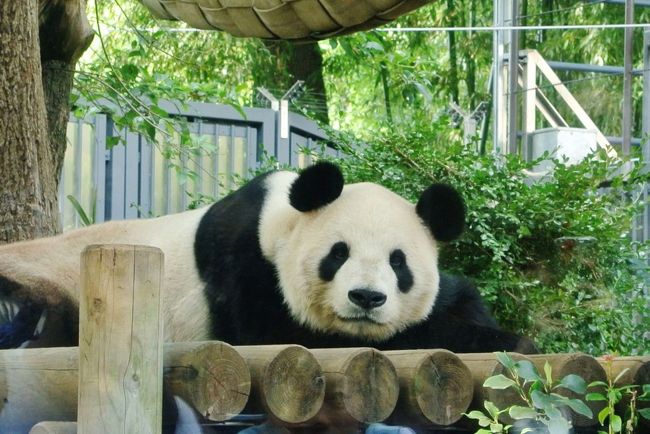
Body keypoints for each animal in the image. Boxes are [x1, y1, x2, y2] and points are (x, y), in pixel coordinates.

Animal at [0, 161, 532, 350]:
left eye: (398, 262)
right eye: (337, 254)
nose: (366, 298)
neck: (278, 225)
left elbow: (454, 296)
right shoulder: (245, 269)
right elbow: (284, 334)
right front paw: (504, 340)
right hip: (51, 274)